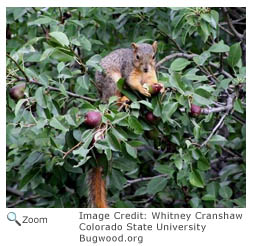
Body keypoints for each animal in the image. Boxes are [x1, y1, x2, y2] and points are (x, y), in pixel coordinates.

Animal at [88, 41, 161, 208]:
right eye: (137, 56)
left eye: (154, 56)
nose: (146, 68)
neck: (140, 70)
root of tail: (101, 95)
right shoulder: (128, 71)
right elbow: (132, 82)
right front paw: (141, 89)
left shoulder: (150, 74)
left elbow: (152, 81)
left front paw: (162, 87)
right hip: (113, 82)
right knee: (113, 98)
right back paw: (122, 99)